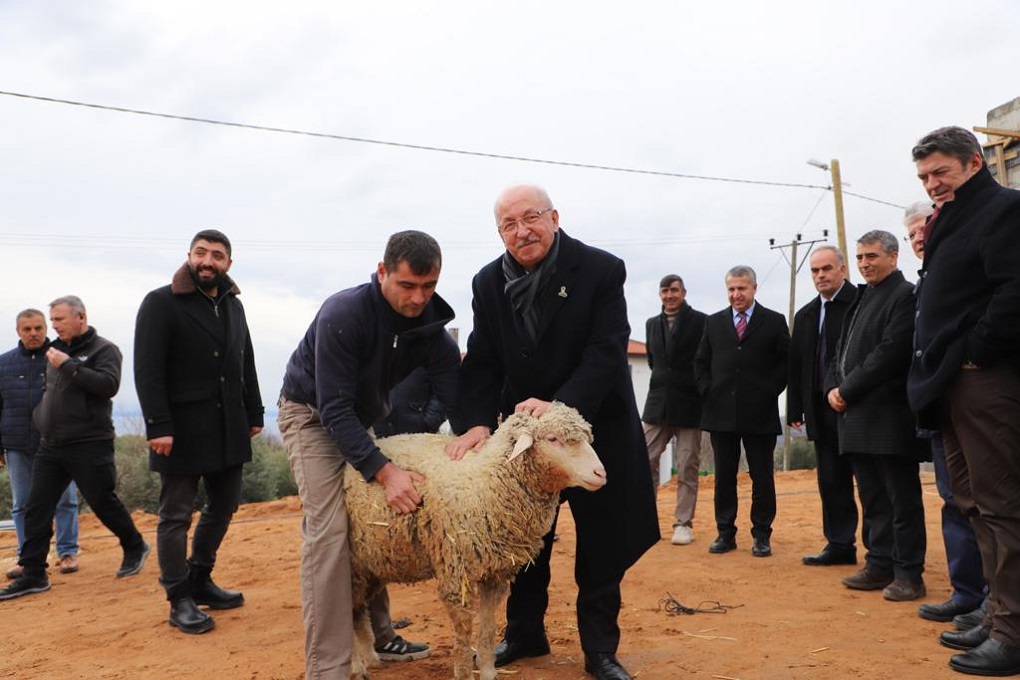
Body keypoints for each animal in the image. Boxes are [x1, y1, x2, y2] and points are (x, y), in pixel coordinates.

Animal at [346, 403, 607, 680]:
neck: (488, 479)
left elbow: (488, 628)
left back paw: (370, 659)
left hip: (372, 561)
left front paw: (488, 671)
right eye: (552, 439)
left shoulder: (496, 574)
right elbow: (463, 634)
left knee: (357, 611)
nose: (601, 473)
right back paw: (355, 666)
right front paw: (464, 672)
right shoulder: (456, 574)